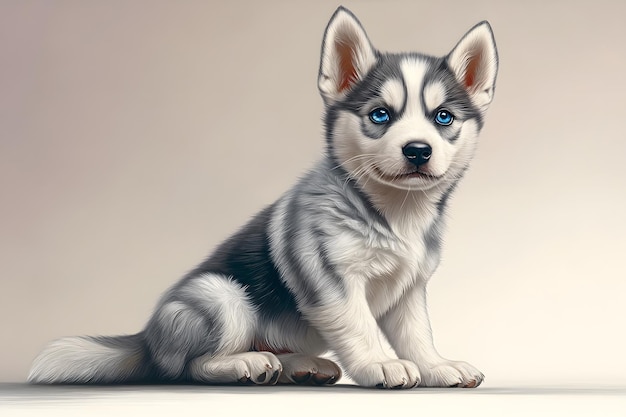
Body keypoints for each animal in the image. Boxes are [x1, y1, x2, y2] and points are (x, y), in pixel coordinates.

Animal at [29, 6, 498, 388]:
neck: (395, 213)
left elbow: (417, 333)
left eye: (443, 118)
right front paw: (380, 364)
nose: (418, 150)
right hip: (221, 296)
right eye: (380, 115)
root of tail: (146, 339)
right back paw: (243, 364)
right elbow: (360, 325)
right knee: (186, 368)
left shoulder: (409, 290)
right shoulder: (334, 281)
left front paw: (436, 366)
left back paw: (300, 366)